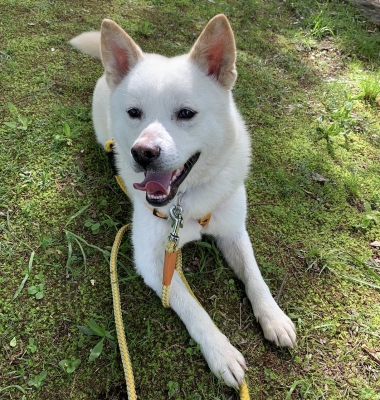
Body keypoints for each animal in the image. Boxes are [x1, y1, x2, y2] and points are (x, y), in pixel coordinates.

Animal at [71, 14, 296, 388]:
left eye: (186, 113)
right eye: (134, 112)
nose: (143, 153)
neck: (187, 202)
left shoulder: (234, 231)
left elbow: (254, 276)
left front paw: (273, 317)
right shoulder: (152, 261)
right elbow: (193, 308)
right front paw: (221, 353)